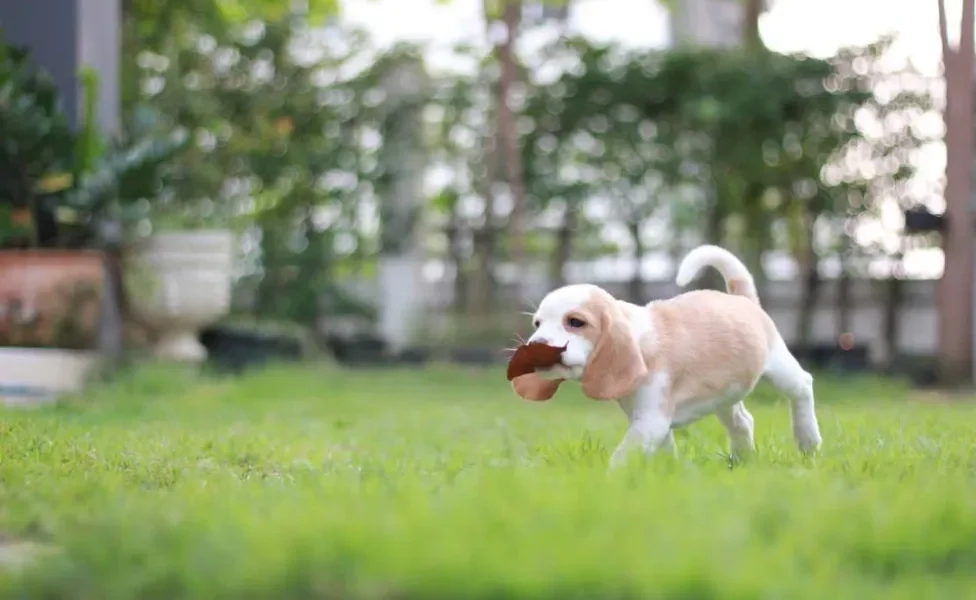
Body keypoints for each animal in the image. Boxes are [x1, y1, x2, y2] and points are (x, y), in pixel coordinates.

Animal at [516, 244, 820, 468]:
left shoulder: (651, 422)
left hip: (780, 368)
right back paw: (742, 461)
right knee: (743, 422)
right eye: (537, 324)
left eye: (575, 322)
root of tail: (742, 299)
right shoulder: (649, 423)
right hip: (727, 393)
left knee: (803, 386)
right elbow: (661, 451)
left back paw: (808, 440)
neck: (638, 339)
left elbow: (621, 457)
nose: (536, 344)